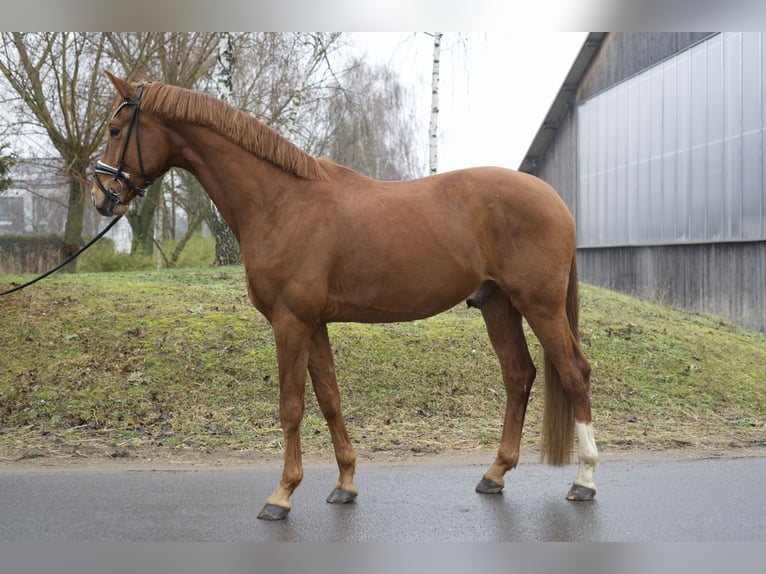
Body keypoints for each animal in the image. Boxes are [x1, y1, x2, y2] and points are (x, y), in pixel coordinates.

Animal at [87, 72, 596, 520]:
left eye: (115, 129)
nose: (102, 197)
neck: (280, 203)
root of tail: (553, 198)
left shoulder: (290, 322)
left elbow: (291, 406)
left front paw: (281, 495)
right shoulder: (314, 324)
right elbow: (330, 398)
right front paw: (345, 483)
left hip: (540, 305)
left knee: (574, 372)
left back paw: (584, 480)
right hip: (498, 305)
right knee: (519, 376)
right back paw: (495, 473)